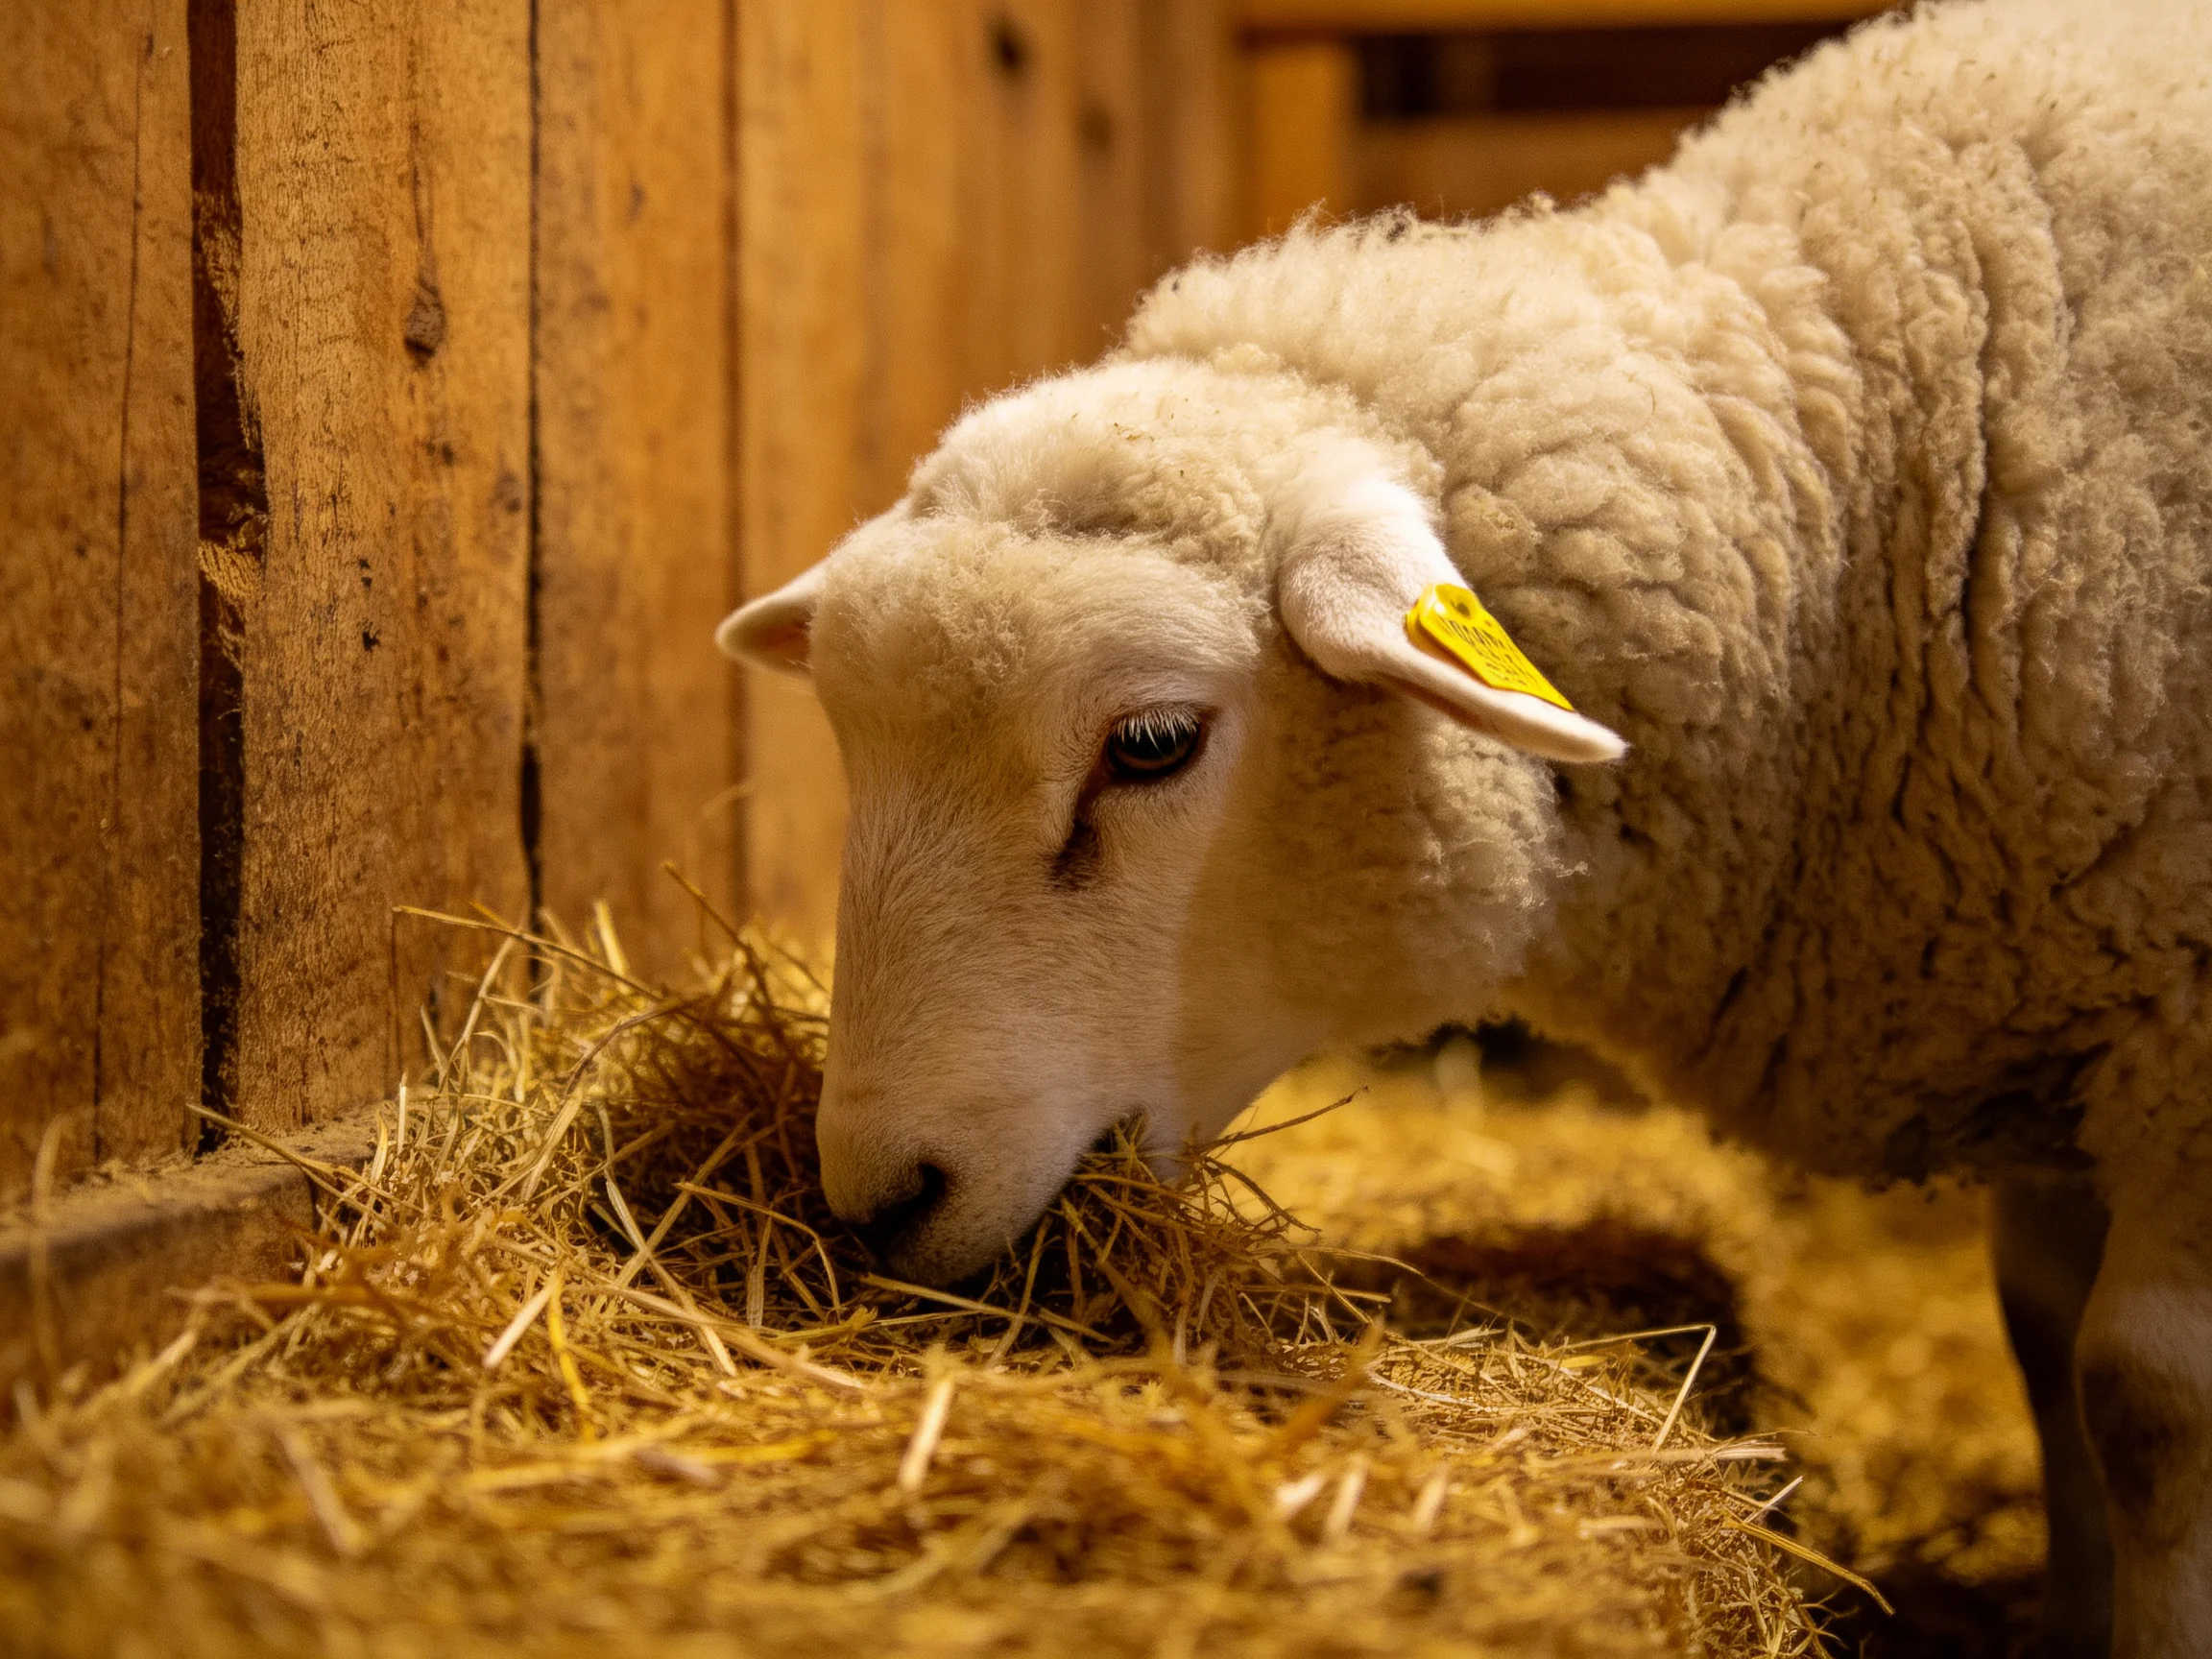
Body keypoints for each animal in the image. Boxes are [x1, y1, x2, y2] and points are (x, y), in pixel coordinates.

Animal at [719, 1, 2212, 1651]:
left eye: (1153, 744)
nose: (875, 1199)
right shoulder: (2060, 999)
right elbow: (2039, 1334)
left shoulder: (2180, 1033)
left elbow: (2143, 1400)